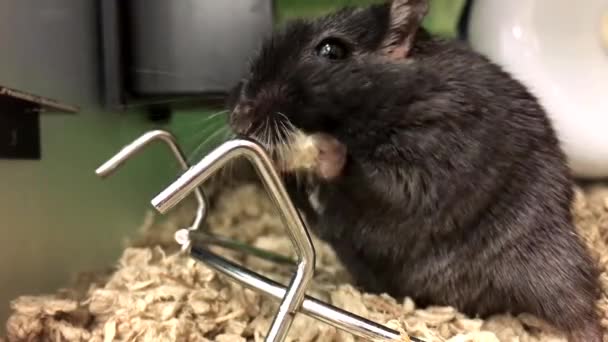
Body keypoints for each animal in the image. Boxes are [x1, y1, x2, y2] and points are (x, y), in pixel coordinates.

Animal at [224, 1, 604, 340]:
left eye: (331, 50)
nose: (239, 117)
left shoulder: (432, 153)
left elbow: (378, 181)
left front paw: (324, 149)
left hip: (547, 261)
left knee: (579, 307)